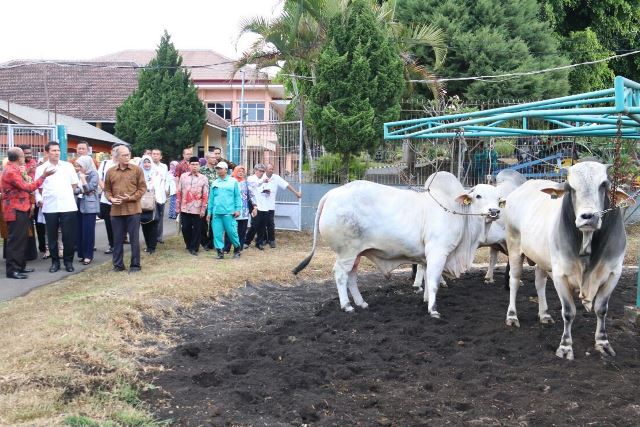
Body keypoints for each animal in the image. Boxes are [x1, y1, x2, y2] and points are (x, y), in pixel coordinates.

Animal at [292, 173, 502, 318]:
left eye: (499, 199)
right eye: (478, 196)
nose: (494, 211)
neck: (456, 210)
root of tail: (331, 194)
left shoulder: (427, 257)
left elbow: (426, 278)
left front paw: (426, 300)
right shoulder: (438, 252)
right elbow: (434, 282)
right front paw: (433, 310)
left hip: (357, 253)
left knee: (352, 277)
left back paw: (361, 303)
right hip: (346, 252)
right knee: (341, 275)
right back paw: (347, 306)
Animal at [504, 162, 636, 360]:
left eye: (604, 184)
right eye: (570, 187)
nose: (589, 217)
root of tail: (521, 188)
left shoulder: (614, 273)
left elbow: (601, 309)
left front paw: (603, 343)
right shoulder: (560, 275)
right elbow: (568, 312)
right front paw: (565, 347)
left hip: (542, 258)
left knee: (539, 283)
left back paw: (544, 314)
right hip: (514, 249)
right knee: (514, 281)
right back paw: (512, 316)